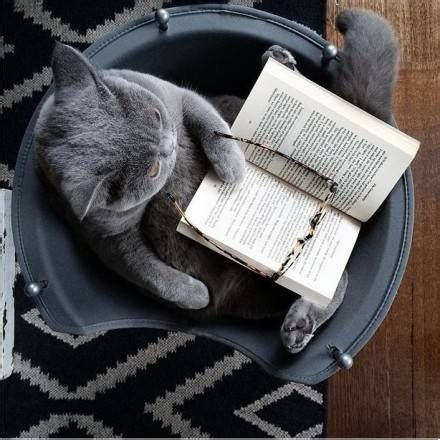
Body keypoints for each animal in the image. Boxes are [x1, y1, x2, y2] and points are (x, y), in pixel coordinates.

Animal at [34, 8, 398, 353]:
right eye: (151, 170)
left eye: (156, 115)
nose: (169, 144)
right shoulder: (103, 237)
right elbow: (146, 270)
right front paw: (196, 296)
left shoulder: (179, 95)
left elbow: (209, 123)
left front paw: (233, 168)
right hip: (256, 292)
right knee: (335, 280)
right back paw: (297, 325)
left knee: (341, 282)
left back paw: (279, 61)